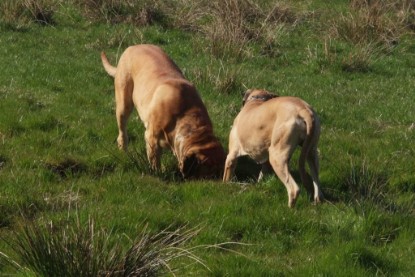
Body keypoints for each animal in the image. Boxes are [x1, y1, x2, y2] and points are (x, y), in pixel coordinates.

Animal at [101, 44, 226, 179]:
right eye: (211, 175)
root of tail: (132, 47)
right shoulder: (152, 138)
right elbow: (155, 161)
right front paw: (158, 173)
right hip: (124, 104)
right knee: (122, 130)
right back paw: (123, 147)